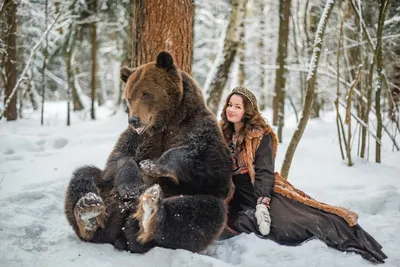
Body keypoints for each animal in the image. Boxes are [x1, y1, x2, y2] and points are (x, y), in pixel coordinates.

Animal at [64, 51, 233, 254]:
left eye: (145, 93)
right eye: (129, 97)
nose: (134, 119)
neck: (165, 123)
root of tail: (120, 232)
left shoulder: (199, 127)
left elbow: (213, 166)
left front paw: (152, 165)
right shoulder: (137, 138)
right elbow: (118, 159)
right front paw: (132, 186)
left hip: (181, 203)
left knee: (206, 211)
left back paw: (148, 215)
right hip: (109, 200)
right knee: (85, 176)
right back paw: (88, 210)